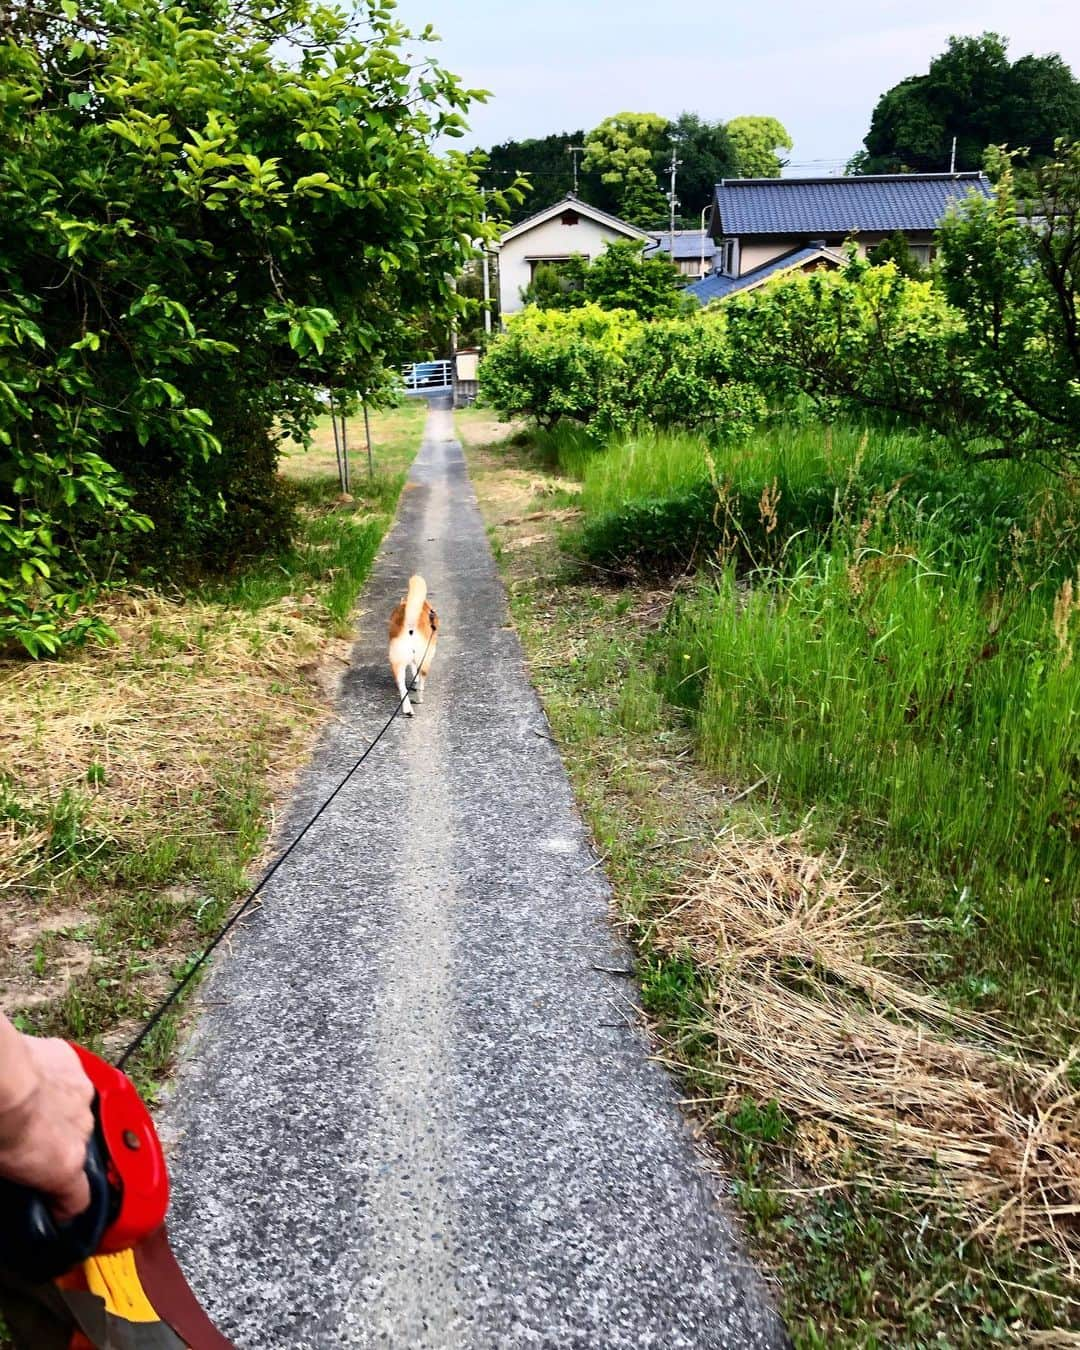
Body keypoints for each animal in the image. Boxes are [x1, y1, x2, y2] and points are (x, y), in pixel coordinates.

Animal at [388, 572, 437, 718]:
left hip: (397, 660)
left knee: (401, 686)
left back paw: (407, 709)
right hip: (425, 657)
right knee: (421, 681)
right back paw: (419, 699)